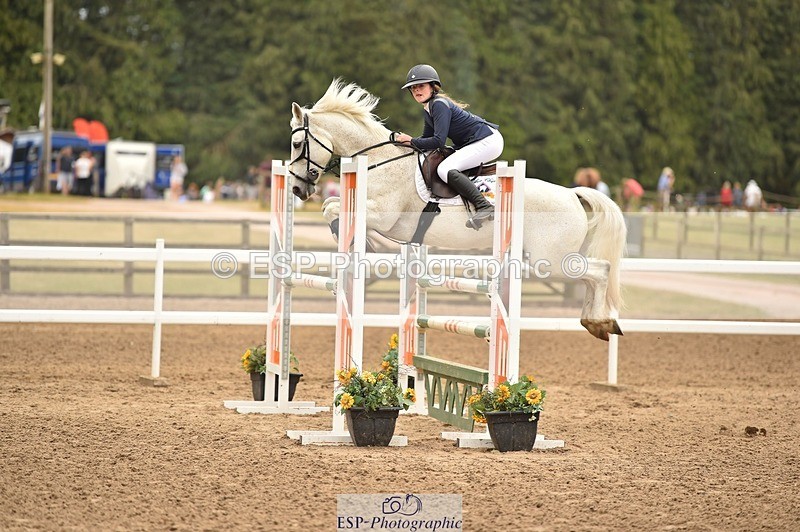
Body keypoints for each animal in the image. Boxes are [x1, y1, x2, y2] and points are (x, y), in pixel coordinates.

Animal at [288, 79, 625, 340]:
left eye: (296, 144)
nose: (297, 189)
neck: (380, 161)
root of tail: (571, 194)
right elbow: (330, 205)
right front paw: (352, 238)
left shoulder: (383, 214)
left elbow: (333, 208)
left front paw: (356, 239)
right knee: (594, 274)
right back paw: (599, 323)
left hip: (552, 260)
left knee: (599, 271)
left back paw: (599, 322)